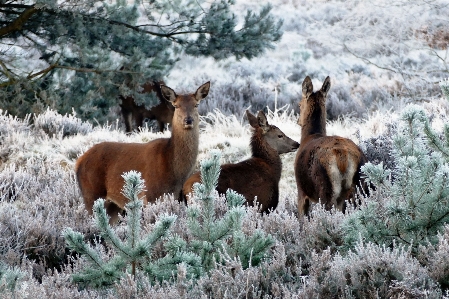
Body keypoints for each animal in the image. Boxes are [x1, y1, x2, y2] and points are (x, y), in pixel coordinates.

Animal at [76, 81, 210, 223]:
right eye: (176, 106)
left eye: (196, 104)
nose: (188, 120)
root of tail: (78, 162)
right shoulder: (150, 195)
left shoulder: (177, 197)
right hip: (91, 194)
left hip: (112, 205)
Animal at [294, 77, 368, 218]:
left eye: (299, 104)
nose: (298, 121)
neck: (309, 136)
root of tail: (343, 157)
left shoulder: (301, 190)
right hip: (361, 186)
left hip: (326, 189)